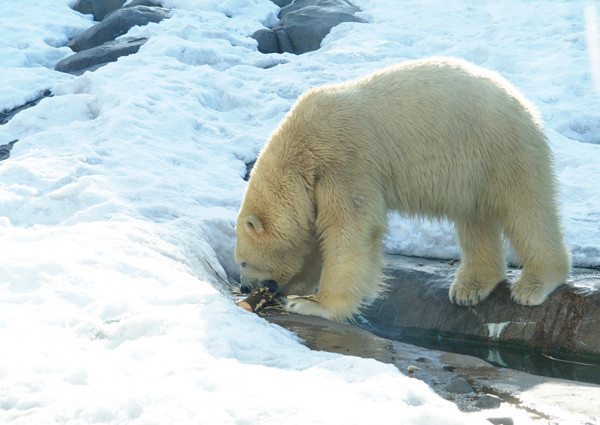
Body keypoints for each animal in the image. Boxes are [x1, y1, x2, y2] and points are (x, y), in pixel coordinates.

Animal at [233, 57, 568, 322]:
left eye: (244, 261)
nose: (246, 286)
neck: (301, 149)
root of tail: (524, 103)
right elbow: (315, 237)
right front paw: (293, 287)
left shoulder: (345, 163)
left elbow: (350, 232)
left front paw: (310, 305)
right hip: (473, 171)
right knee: (475, 218)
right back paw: (470, 288)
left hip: (500, 148)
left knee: (526, 211)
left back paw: (534, 285)